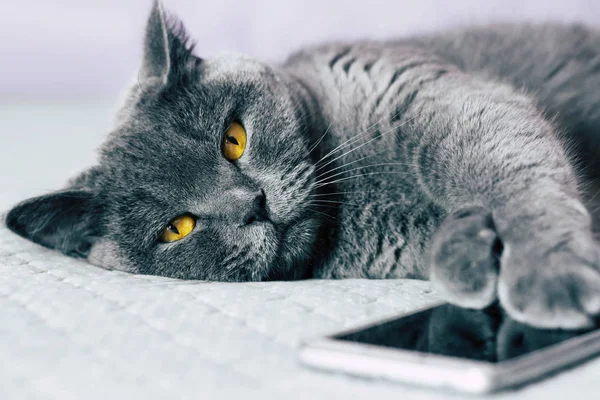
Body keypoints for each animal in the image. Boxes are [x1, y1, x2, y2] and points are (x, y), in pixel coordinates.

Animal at [7, 0, 600, 330]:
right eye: (177, 228)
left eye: (233, 140)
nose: (253, 205)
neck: (357, 198)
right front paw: (467, 252)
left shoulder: (436, 100)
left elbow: (510, 176)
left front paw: (550, 274)